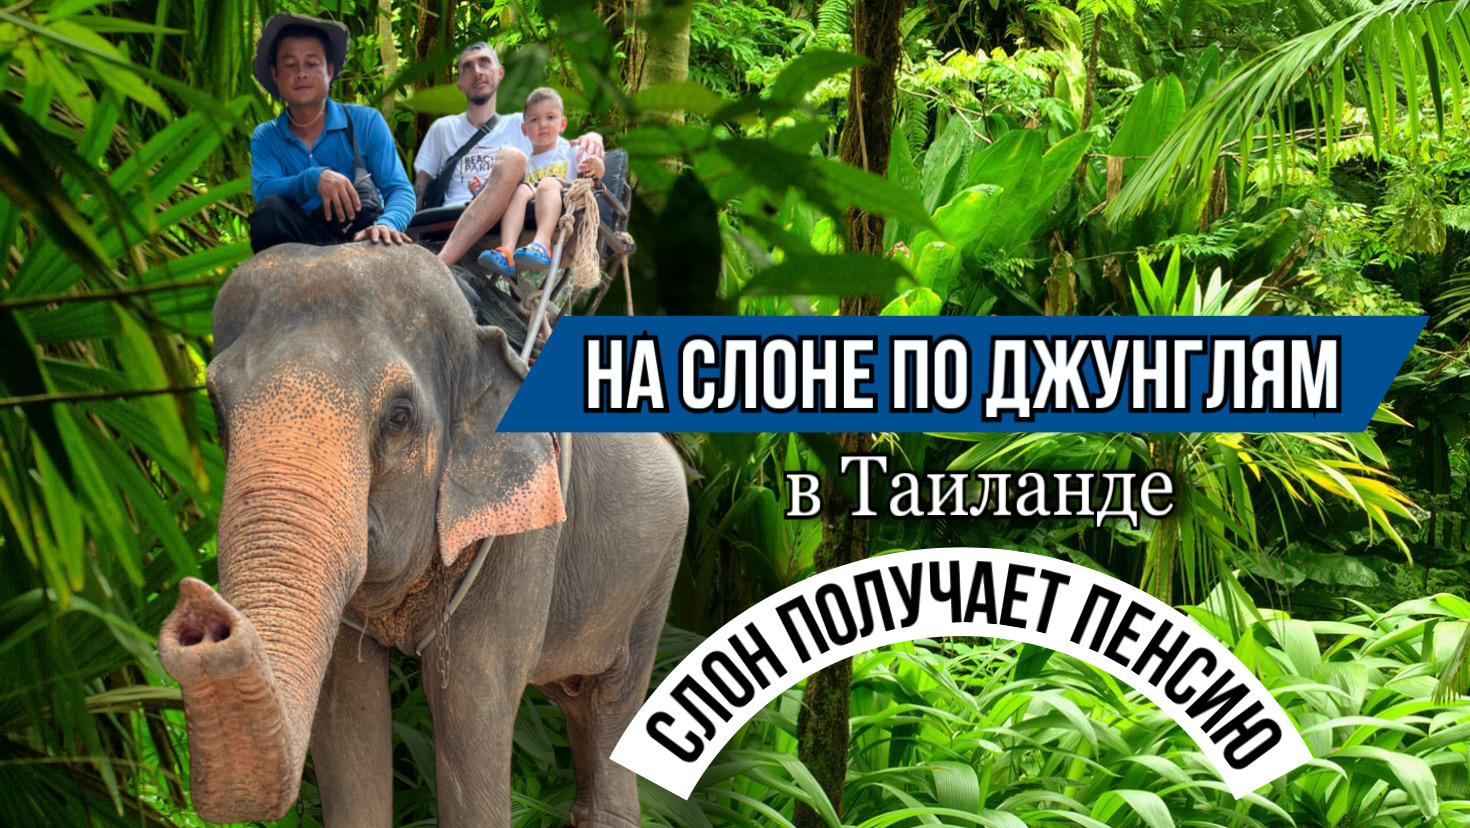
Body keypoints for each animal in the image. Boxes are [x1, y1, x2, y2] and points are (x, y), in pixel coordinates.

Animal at [156, 243, 688, 827]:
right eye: (217, 409)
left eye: (399, 417)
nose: (201, 614)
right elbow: (346, 710)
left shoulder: (525, 528)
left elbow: (471, 702)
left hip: (659, 573)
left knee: (612, 704)